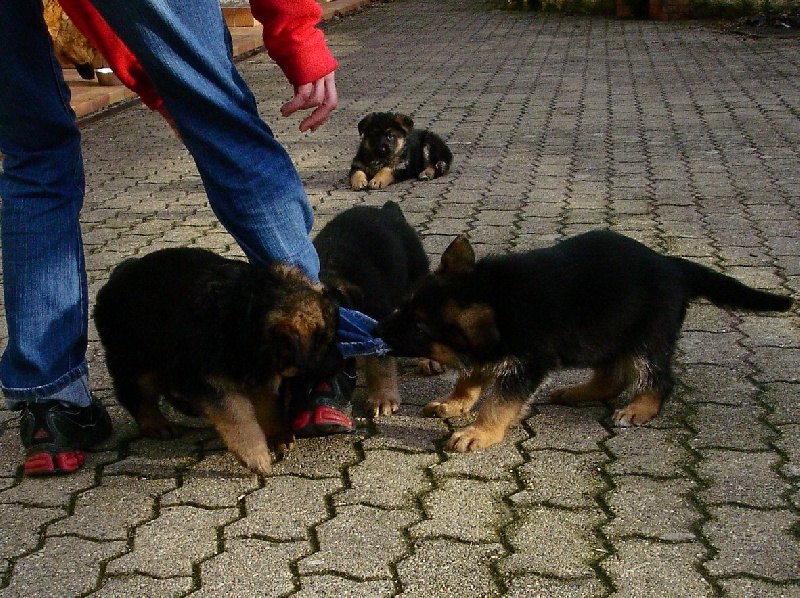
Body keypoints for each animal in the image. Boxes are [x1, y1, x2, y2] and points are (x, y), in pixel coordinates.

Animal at [94, 247, 344, 474]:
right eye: (324, 344)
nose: (340, 363)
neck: (246, 316)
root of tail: (116, 277)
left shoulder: (260, 374)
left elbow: (268, 405)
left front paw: (277, 433)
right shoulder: (214, 381)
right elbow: (238, 417)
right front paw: (255, 456)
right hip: (135, 358)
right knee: (137, 394)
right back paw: (156, 424)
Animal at [376, 232, 792, 452]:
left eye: (417, 328)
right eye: (403, 306)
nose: (378, 330)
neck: (494, 296)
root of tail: (672, 263)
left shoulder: (526, 361)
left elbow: (499, 402)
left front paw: (481, 431)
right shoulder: (493, 352)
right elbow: (471, 376)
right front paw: (454, 402)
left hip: (646, 337)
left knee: (657, 378)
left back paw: (640, 408)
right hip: (605, 332)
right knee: (612, 376)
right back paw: (577, 392)